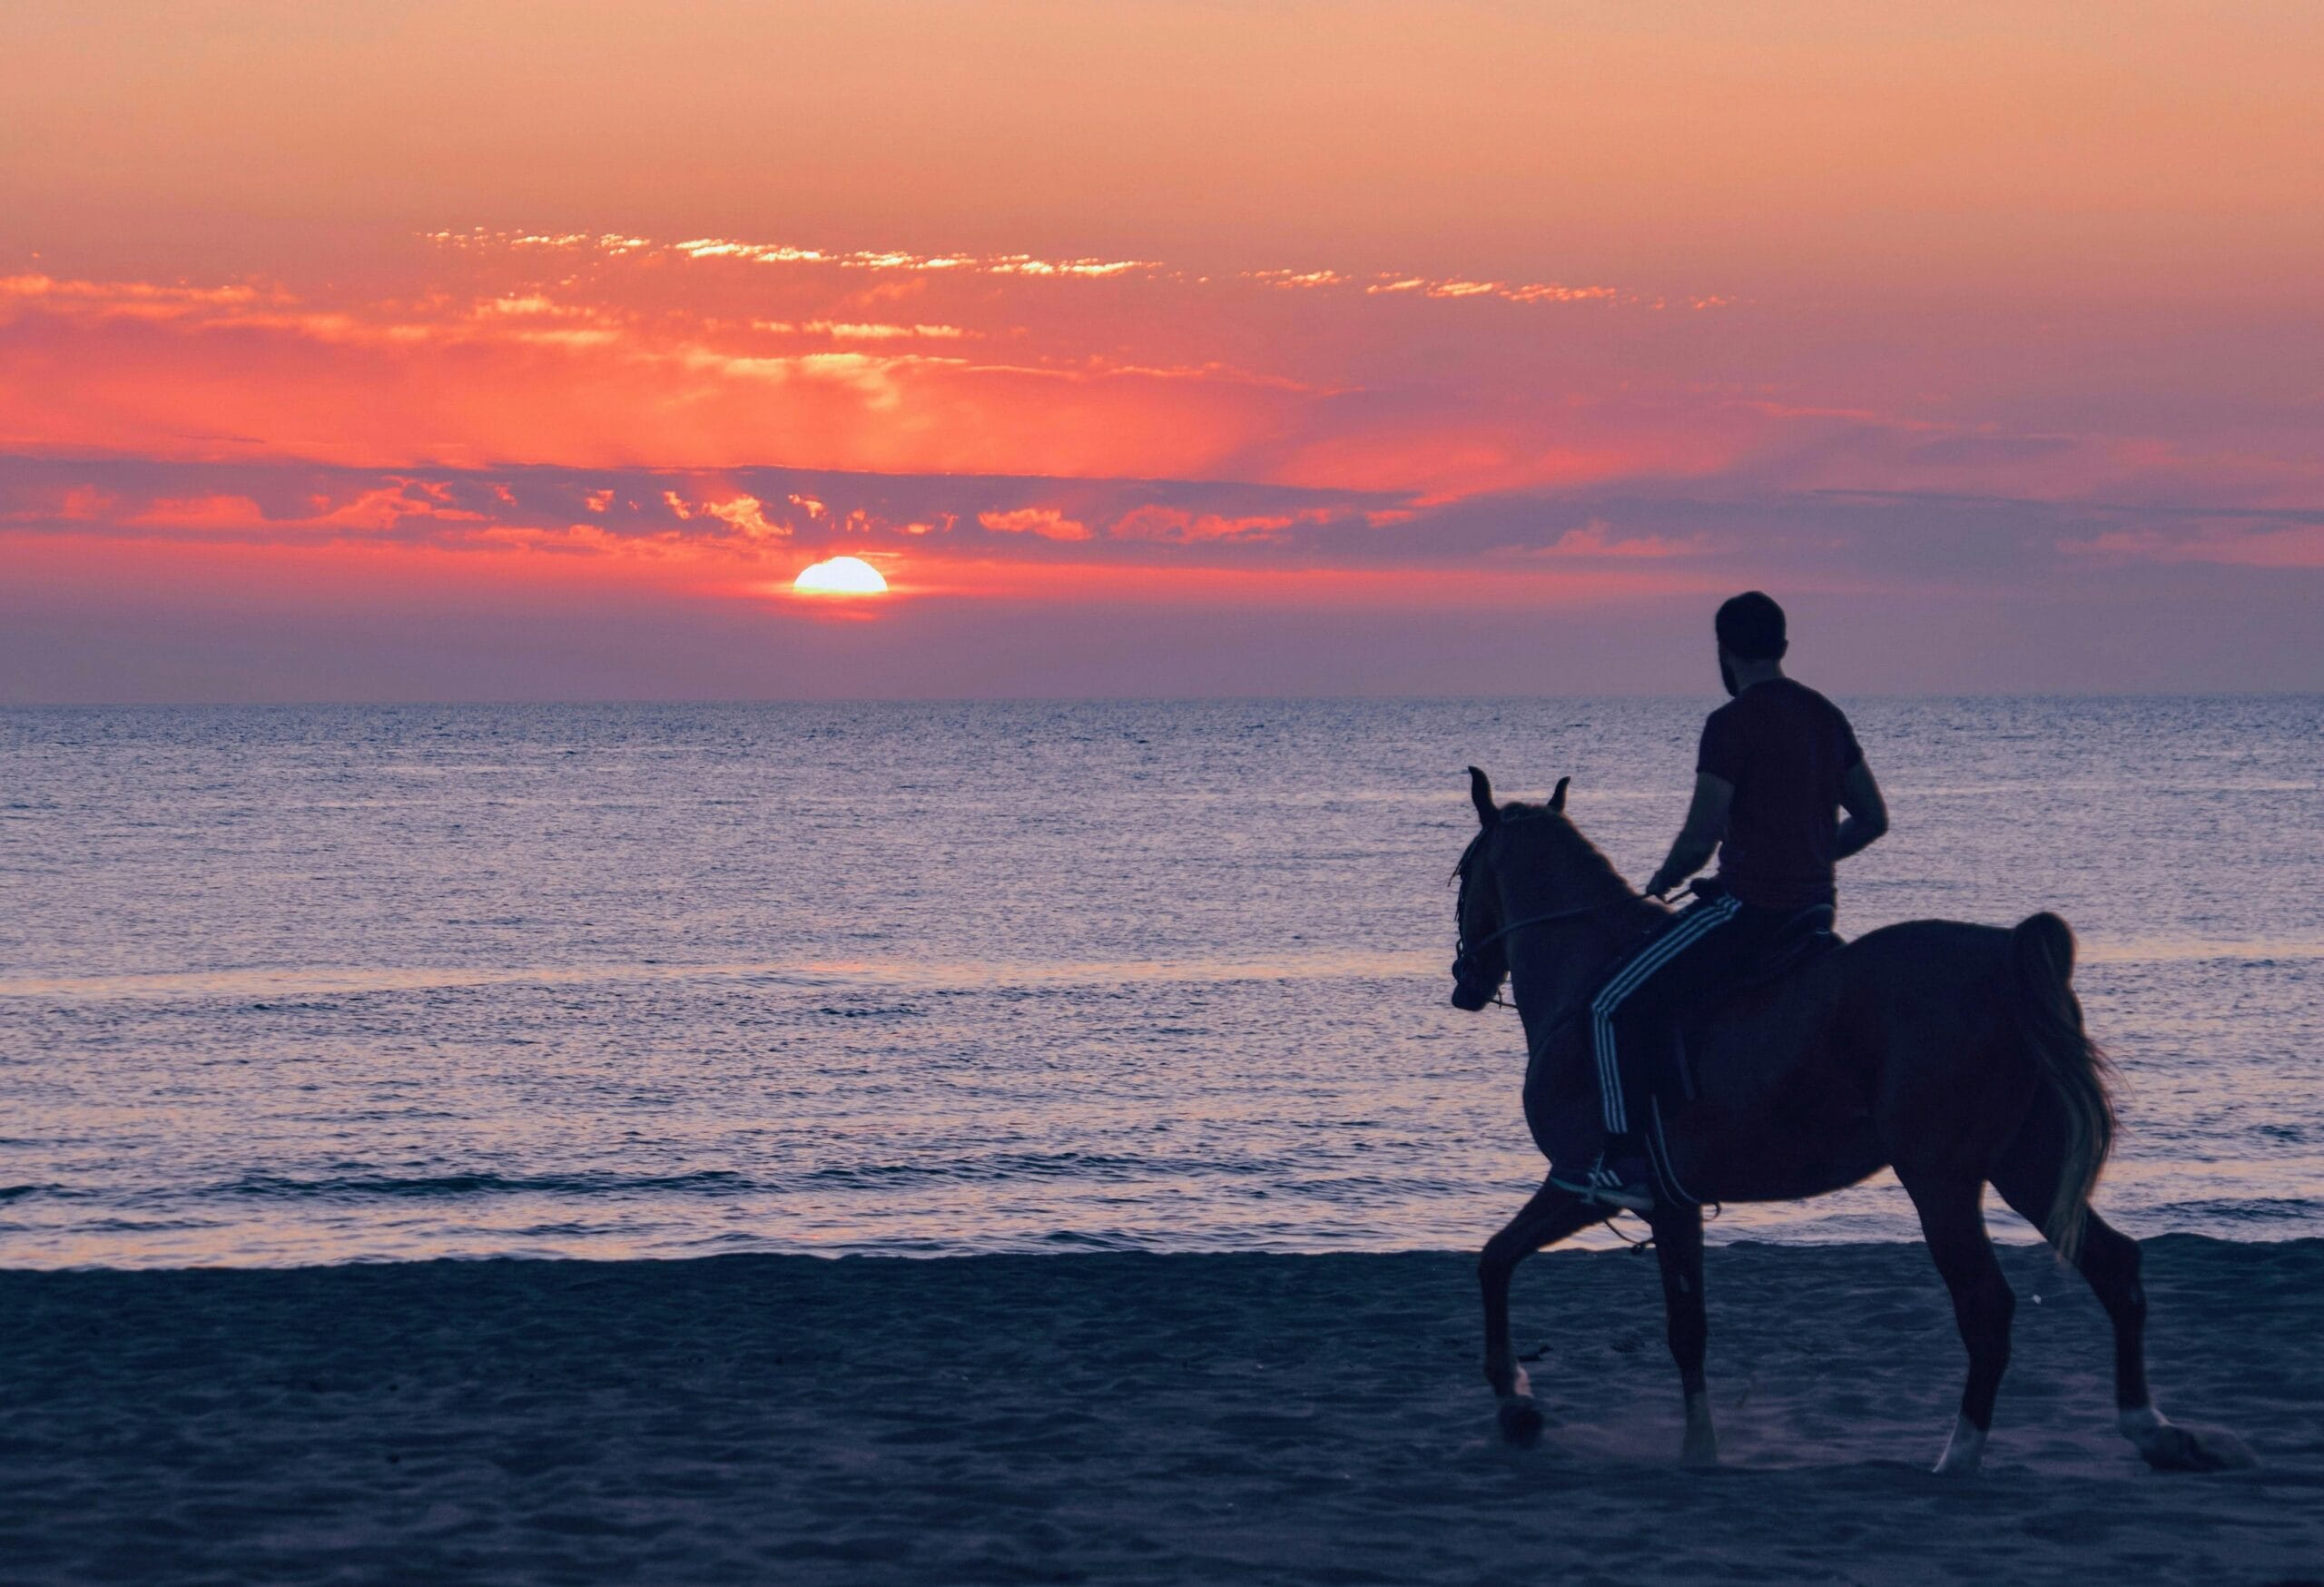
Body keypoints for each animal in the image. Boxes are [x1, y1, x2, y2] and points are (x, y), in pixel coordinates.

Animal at [1450, 771, 2250, 1477]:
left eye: (1461, 875)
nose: (1465, 982)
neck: (1587, 973)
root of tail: (2003, 955)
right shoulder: (1673, 1204)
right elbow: (1680, 1326)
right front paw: (1690, 1445)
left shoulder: (1589, 1185)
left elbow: (1502, 1262)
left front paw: (1521, 1406)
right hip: (2028, 1164)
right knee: (2115, 1267)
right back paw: (2153, 1432)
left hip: (1942, 1180)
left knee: (1987, 1308)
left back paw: (1958, 1457)